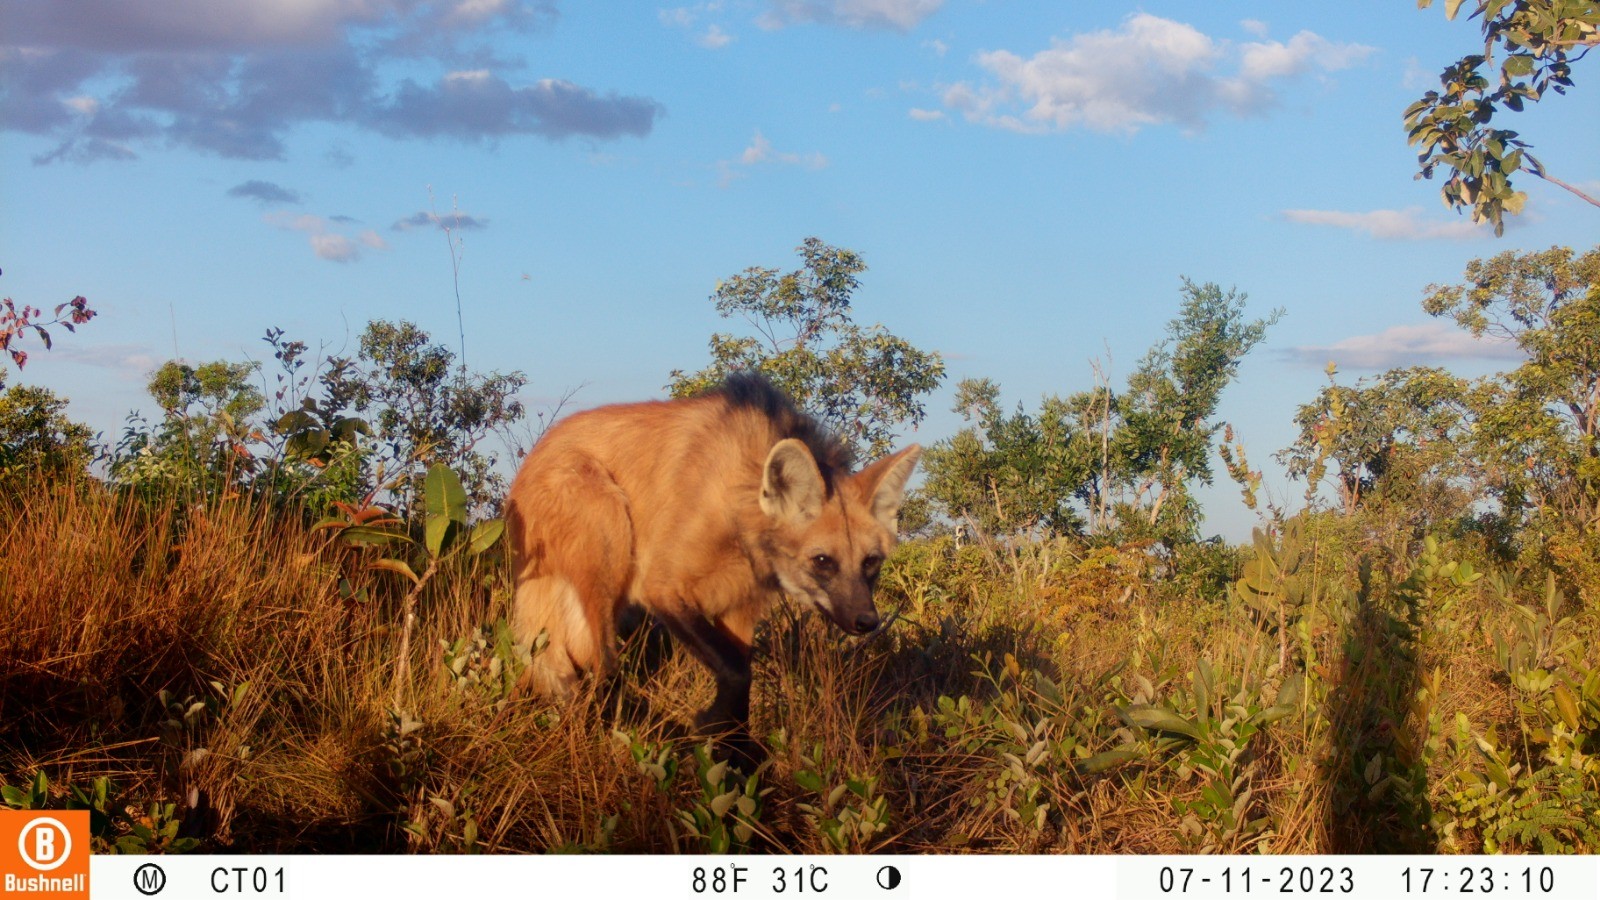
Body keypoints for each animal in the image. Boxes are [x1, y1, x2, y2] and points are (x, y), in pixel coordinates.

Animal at [505, 374, 921, 759]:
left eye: (871, 562)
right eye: (823, 561)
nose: (867, 622)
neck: (739, 510)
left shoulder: (740, 608)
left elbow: (740, 673)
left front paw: (735, 756)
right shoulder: (662, 587)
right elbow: (736, 671)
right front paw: (710, 728)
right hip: (609, 528)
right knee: (602, 661)